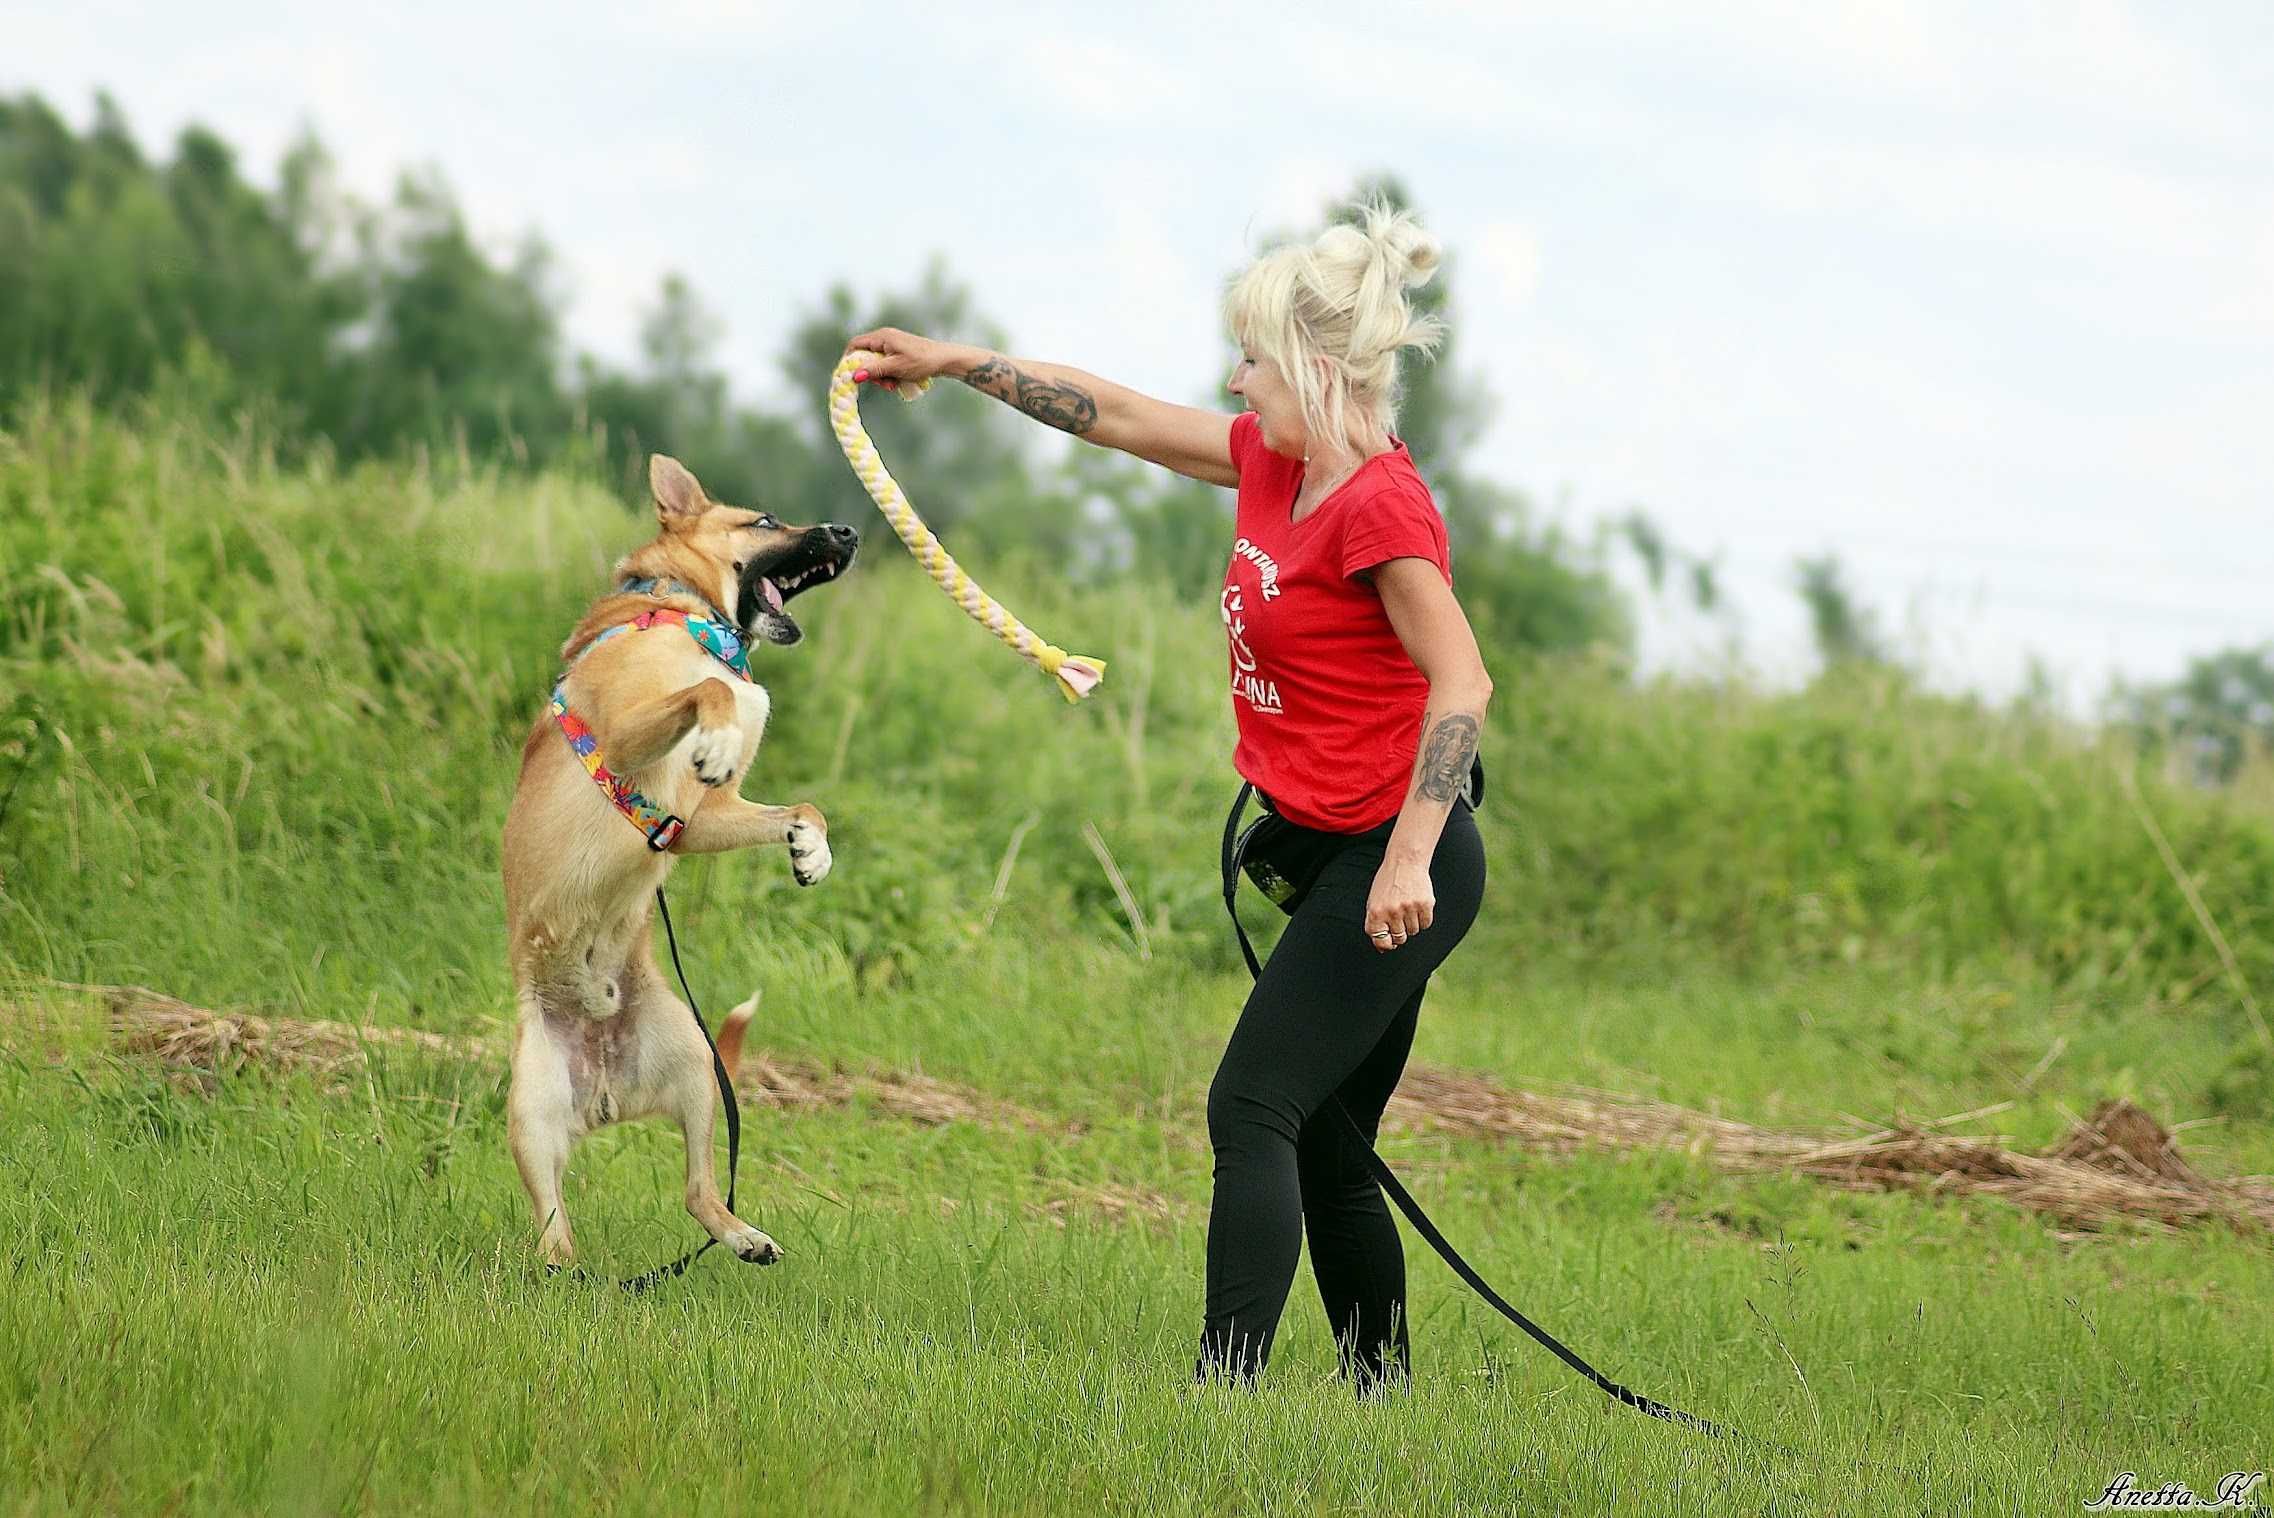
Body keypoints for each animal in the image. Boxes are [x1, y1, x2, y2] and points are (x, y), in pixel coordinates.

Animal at [502, 449, 855, 1272]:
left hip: (696, 1067)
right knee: (552, 1226)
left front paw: (811, 849)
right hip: (531, 1109)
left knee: (698, 1191)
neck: (688, 612)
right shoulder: (630, 739)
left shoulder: (696, 823)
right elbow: (707, 694)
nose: (850, 530)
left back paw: (742, 1235)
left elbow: (802, 807)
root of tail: (601, 1093)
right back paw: (566, 1271)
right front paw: (719, 726)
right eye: (765, 520)